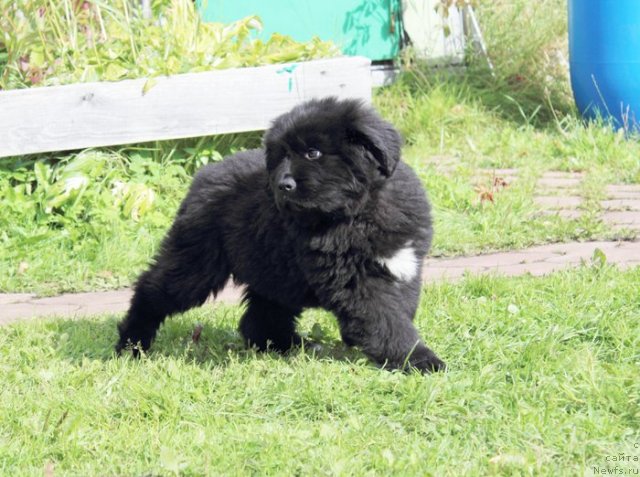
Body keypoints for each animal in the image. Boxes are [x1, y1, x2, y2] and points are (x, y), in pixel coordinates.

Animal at [115, 96, 444, 372]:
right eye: (282, 155)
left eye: (313, 153)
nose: (284, 185)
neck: (358, 211)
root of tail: (204, 175)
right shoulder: (355, 280)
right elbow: (385, 317)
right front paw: (419, 359)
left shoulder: (407, 266)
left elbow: (401, 309)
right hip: (198, 261)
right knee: (153, 289)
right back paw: (131, 345)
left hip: (273, 267)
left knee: (259, 317)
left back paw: (289, 346)